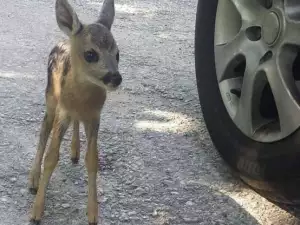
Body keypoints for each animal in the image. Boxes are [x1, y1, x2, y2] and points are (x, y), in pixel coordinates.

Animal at [27, 0, 122, 223]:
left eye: (118, 54)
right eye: (91, 54)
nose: (116, 78)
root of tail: (64, 39)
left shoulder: (95, 116)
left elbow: (93, 160)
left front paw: (93, 214)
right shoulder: (63, 111)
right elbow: (51, 157)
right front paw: (36, 212)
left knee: (74, 124)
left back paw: (74, 151)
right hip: (51, 97)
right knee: (44, 129)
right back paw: (33, 180)